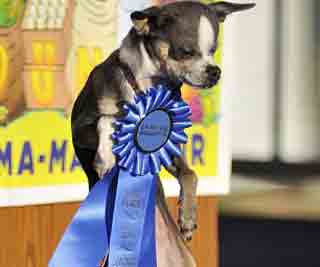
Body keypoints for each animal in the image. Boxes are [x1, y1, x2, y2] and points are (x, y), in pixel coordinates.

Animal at [72, 1, 255, 266]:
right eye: (186, 51)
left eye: (214, 50)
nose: (215, 71)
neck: (148, 88)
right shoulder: (80, 131)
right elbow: (107, 119)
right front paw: (105, 156)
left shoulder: (166, 148)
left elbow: (190, 174)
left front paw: (188, 216)